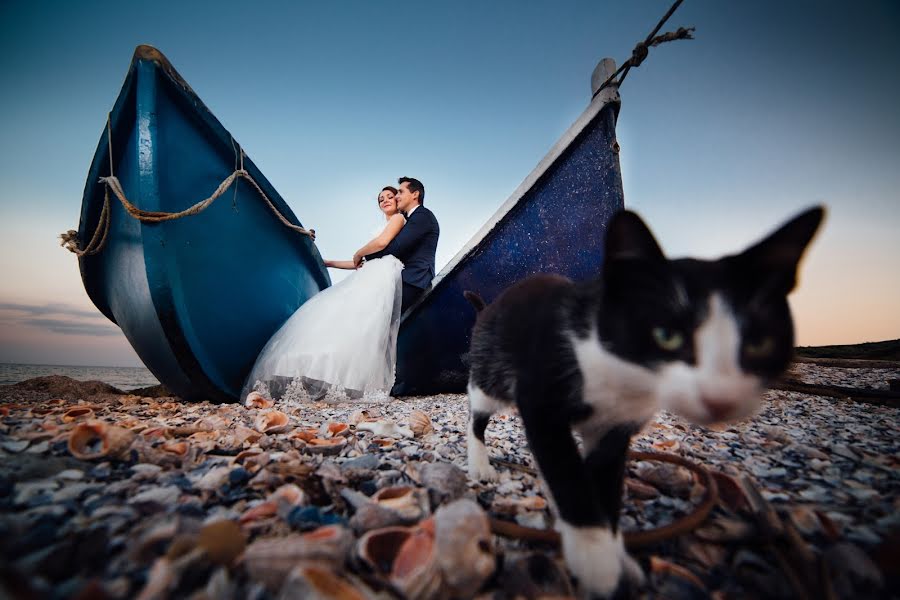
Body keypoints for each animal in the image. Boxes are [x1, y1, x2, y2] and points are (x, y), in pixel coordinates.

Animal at [464, 205, 824, 596]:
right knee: (477, 415)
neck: (622, 375)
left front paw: (615, 554)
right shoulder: (541, 400)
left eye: (759, 343)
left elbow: (604, 482)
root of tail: (488, 306)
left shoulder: (616, 430)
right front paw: (597, 560)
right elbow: (569, 474)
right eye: (665, 335)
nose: (720, 398)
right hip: (492, 375)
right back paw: (480, 463)